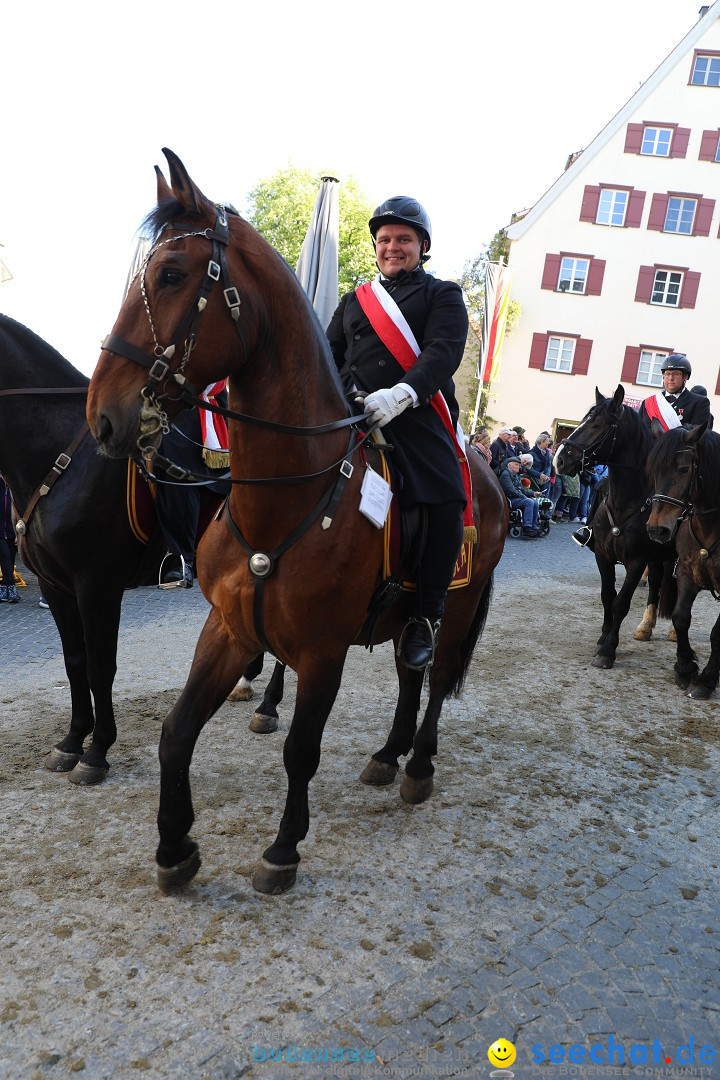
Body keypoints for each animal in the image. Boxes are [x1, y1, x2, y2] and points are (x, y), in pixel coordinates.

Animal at [85, 150, 507, 894]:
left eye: (172, 275)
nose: (102, 415)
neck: (288, 490)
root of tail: (485, 468)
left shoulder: (321, 653)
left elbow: (300, 750)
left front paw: (283, 848)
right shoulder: (228, 629)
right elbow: (176, 730)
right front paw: (174, 847)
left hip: (453, 608)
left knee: (433, 680)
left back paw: (418, 764)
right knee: (410, 675)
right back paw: (388, 755)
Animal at [557, 388, 677, 669]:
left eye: (598, 425)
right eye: (584, 419)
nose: (560, 460)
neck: (627, 502)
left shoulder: (637, 560)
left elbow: (621, 602)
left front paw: (608, 650)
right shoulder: (603, 556)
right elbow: (607, 596)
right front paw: (602, 638)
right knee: (656, 582)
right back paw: (645, 627)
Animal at [647, 416, 720, 695]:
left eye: (684, 469)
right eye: (652, 471)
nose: (656, 529)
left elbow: (717, 632)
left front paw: (706, 679)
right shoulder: (688, 573)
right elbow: (680, 618)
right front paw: (685, 667)